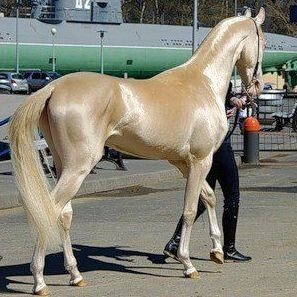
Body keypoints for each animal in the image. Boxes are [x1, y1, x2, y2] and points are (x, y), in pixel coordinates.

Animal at [8, 8, 264, 294]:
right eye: (262, 41)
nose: (257, 86)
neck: (203, 82)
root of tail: (53, 87)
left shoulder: (183, 163)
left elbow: (207, 198)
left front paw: (217, 251)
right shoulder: (200, 160)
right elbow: (189, 209)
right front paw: (188, 264)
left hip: (65, 166)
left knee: (64, 215)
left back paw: (75, 274)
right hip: (78, 167)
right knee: (48, 210)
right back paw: (39, 281)